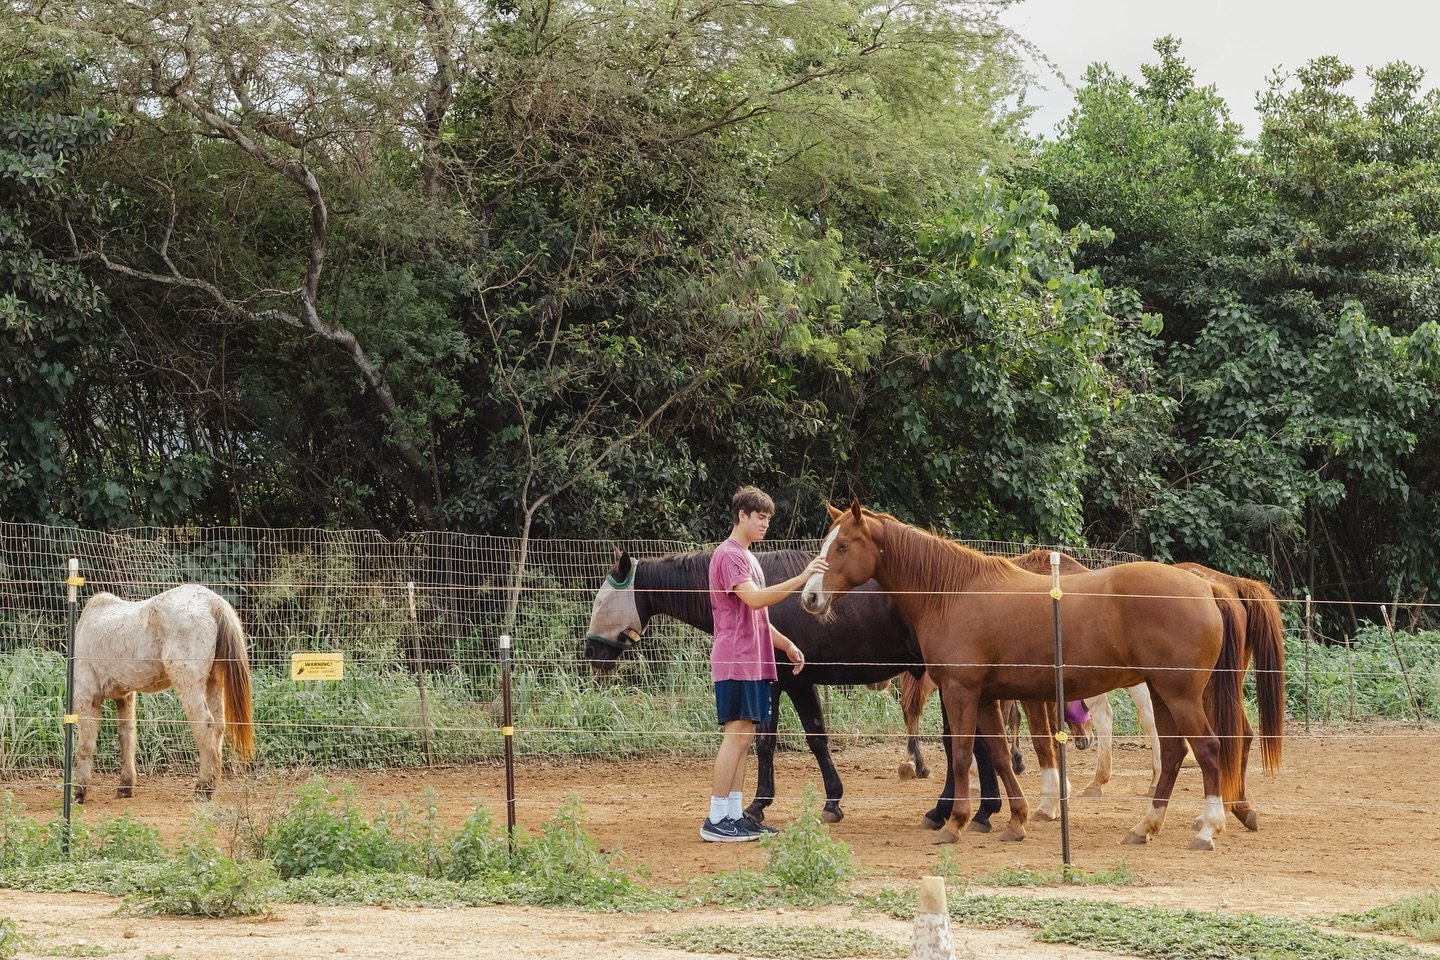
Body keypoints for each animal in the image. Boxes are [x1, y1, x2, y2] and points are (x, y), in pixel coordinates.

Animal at [71, 584, 255, 802]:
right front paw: (125, 786)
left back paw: (203, 788)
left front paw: (78, 792)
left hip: (189, 684)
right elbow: (127, 738)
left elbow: (85, 744)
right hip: (213, 683)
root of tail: (213, 603)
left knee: (205, 726)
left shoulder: (87, 695)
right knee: (218, 727)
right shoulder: (125, 697)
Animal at [581, 547, 1005, 827]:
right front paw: (831, 802)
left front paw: (760, 805)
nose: (591, 654)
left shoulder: (785, 682)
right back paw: (984, 810)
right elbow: (812, 737)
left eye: (600, 601)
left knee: (962, 741)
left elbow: (778, 741)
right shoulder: (795, 683)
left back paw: (947, 810)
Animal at [800, 500, 1272, 850]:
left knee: (1209, 749)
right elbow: (999, 756)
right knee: (1174, 753)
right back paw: (1145, 827)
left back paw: (1208, 828)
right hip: (1162, 692)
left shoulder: (960, 691)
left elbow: (961, 755)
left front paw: (955, 823)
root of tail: (1208, 587)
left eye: (843, 546)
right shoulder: (987, 696)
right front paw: (1016, 820)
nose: (810, 598)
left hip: (1181, 694)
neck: (953, 592)